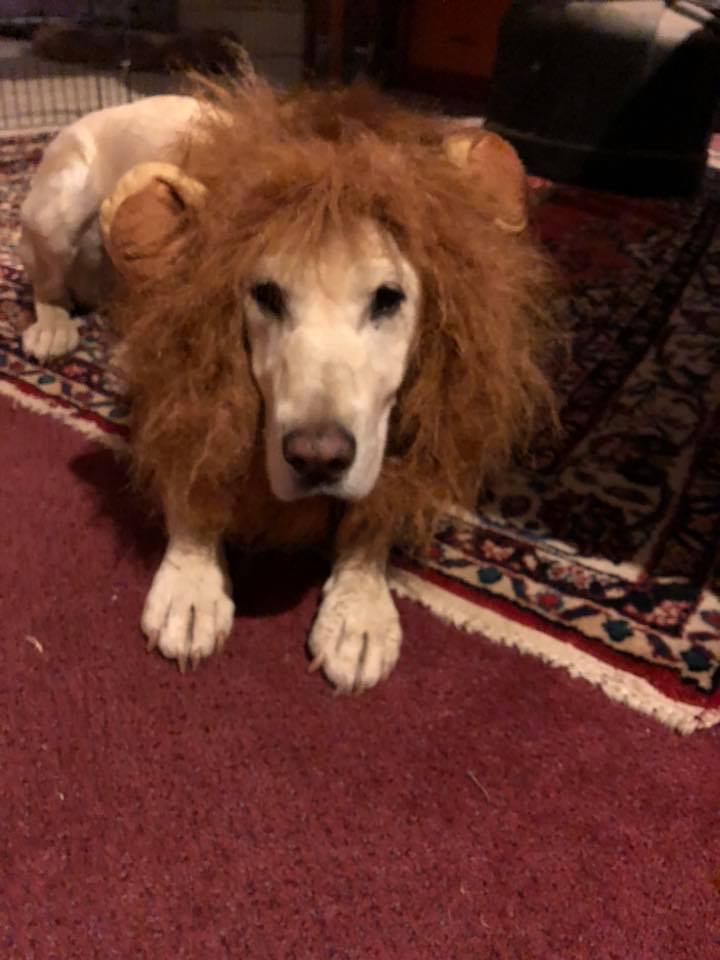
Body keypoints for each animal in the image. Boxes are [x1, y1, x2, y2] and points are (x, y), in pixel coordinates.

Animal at [23, 75, 556, 691]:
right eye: (266, 295)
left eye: (388, 298)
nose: (317, 458)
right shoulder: (179, 390)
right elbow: (192, 473)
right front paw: (191, 586)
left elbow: (374, 516)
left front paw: (359, 610)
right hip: (60, 205)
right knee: (45, 283)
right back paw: (53, 327)